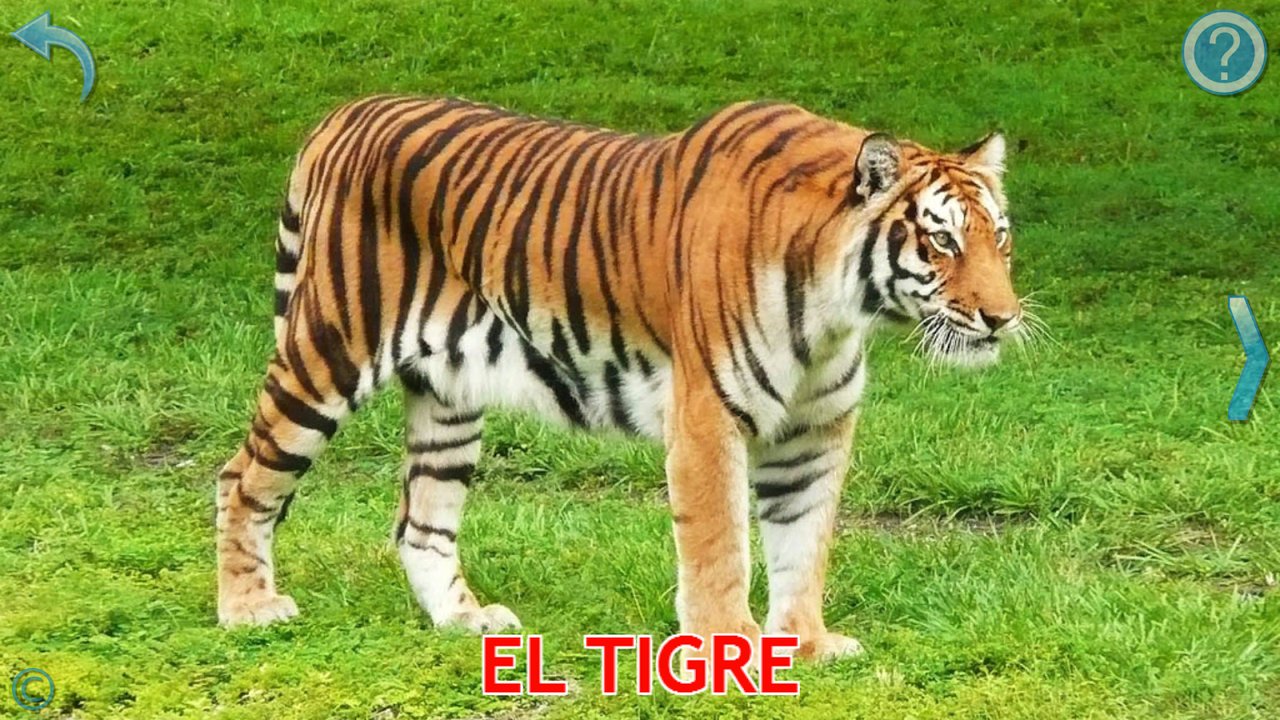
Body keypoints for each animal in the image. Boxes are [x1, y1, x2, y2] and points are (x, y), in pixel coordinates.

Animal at [215, 95, 1026, 662]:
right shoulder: (708, 414)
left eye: (1000, 238)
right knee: (242, 477)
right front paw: (728, 646)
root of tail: (346, 114)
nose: (1003, 318)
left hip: (449, 397)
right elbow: (720, 544)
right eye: (942, 240)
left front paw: (809, 645)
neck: (838, 310)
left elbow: (804, 542)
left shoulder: (814, 429)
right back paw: (247, 609)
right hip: (327, 353)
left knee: (421, 521)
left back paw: (465, 620)